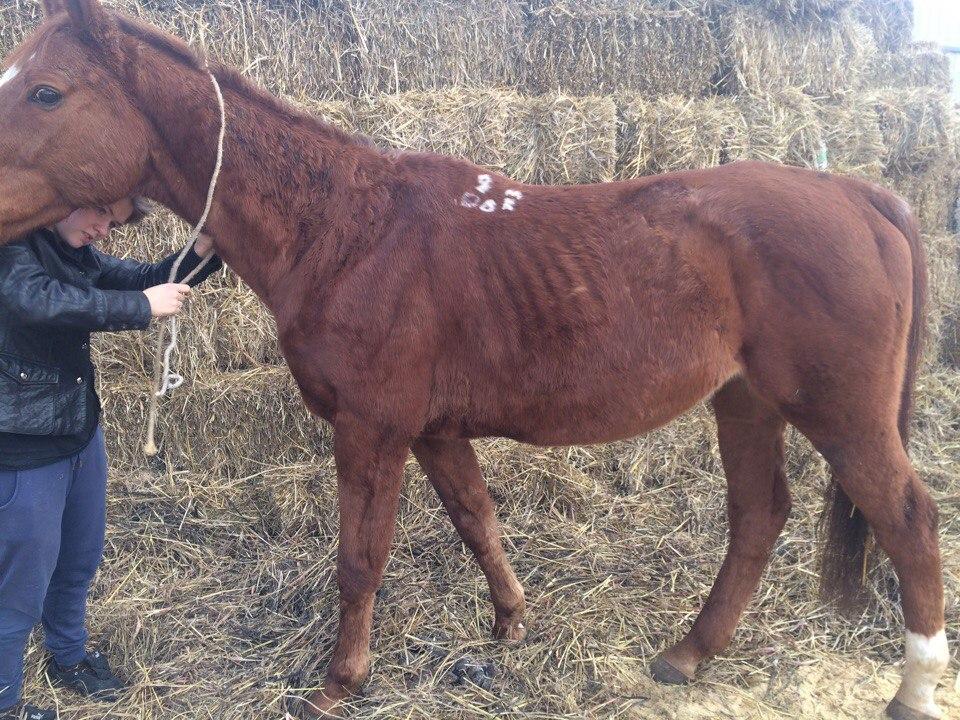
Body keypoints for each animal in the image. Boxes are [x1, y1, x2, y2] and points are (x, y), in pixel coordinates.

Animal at [0, 2, 952, 716]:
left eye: (46, 91)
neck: (347, 231)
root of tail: (856, 192)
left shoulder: (373, 430)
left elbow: (361, 559)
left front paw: (339, 682)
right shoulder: (432, 430)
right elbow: (477, 520)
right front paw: (511, 622)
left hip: (841, 413)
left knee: (907, 519)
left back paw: (912, 687)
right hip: (746, 399)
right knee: (759, 515)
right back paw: (688, 652)